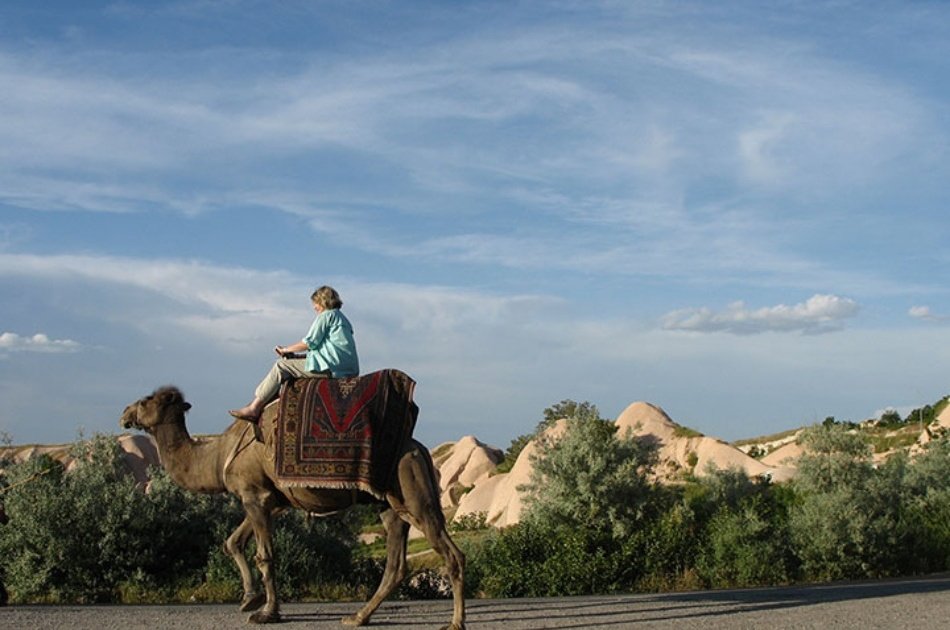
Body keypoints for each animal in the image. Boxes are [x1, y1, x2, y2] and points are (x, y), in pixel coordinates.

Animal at [122, 388, 464, 628]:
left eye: (146, 400)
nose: (124, 413)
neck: (218, 455)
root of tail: (421, 450)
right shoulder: (271, 500)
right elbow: (233, 541)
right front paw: (250, 598)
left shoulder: (254, 494)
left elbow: (265, 556)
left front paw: (267, 613)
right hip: (390, 504)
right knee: (397, 564)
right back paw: (358, 617)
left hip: (413, 493)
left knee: (450, 553)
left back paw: (455, 623)